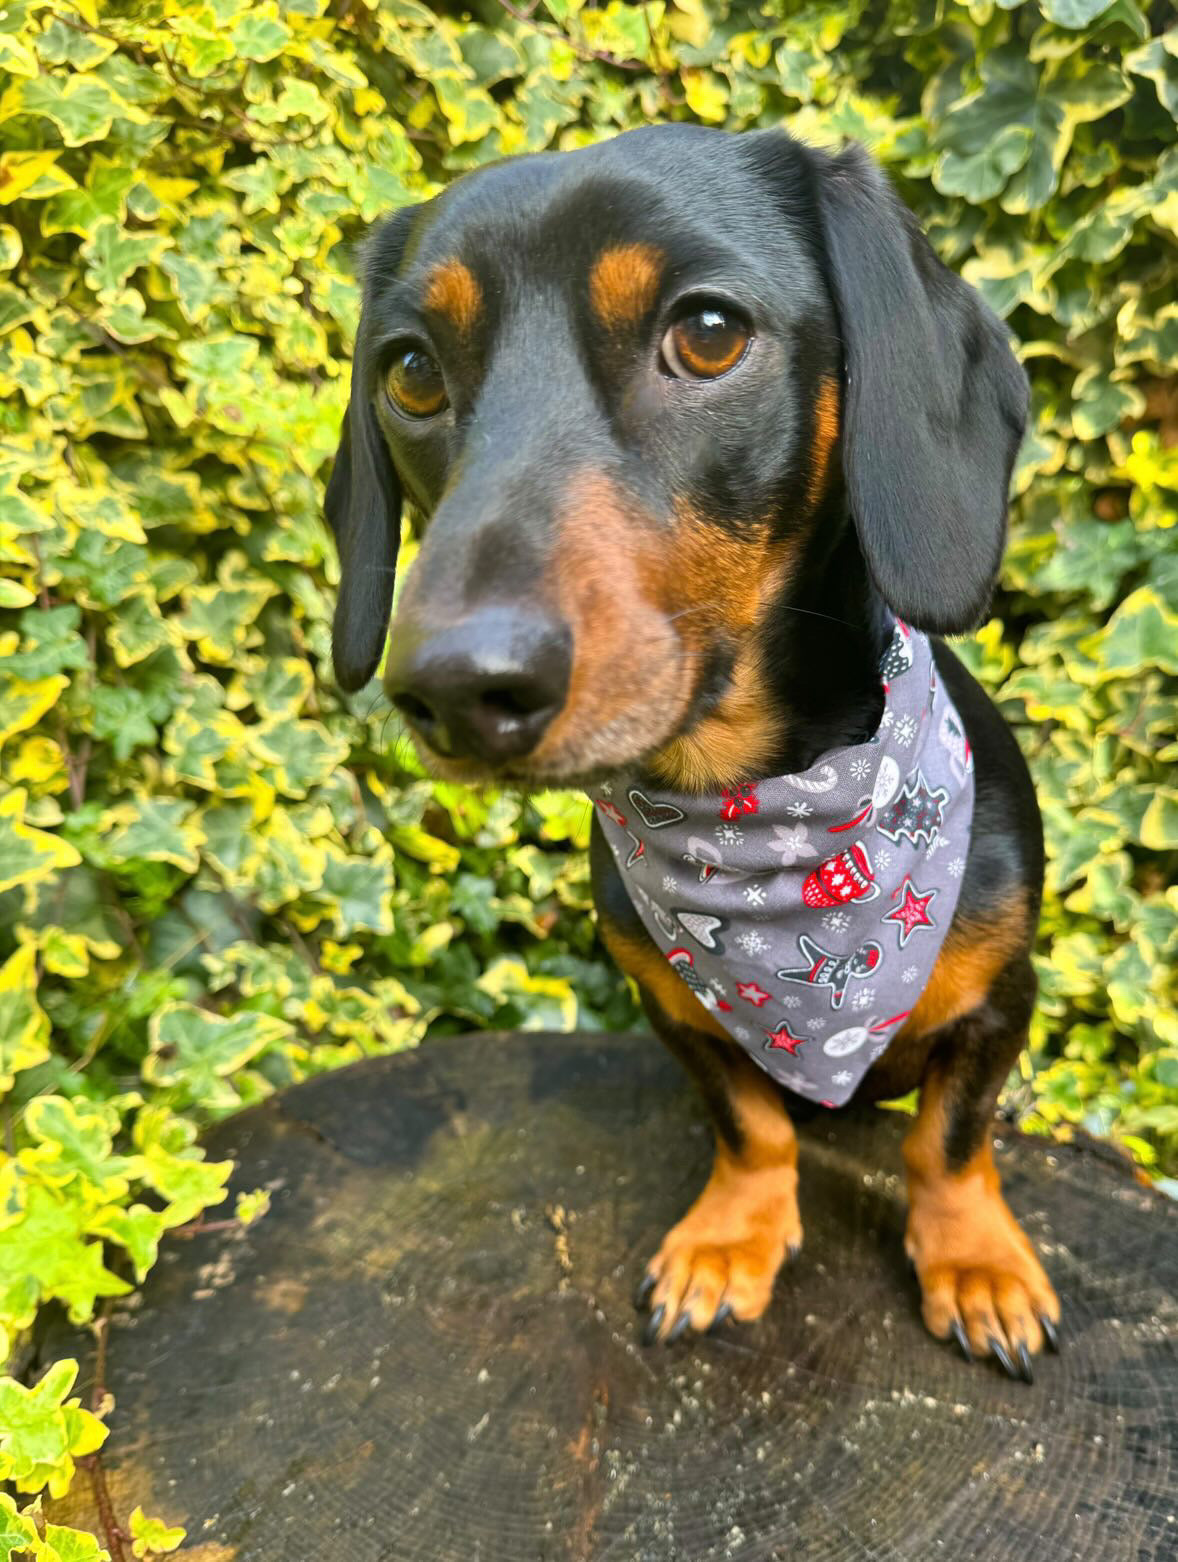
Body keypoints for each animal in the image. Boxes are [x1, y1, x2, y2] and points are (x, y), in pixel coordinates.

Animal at [321, 128, 1056, 1387]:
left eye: (707, 332)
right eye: (409, 370)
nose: (456, 687)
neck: (758, 814)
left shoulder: (1000, 1002)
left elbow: (948, 1142)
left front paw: (974, 1261)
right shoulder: (673, 1008)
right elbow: (749, 1123)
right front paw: (730, 1238)